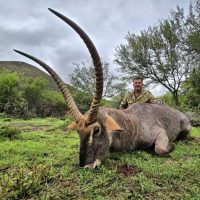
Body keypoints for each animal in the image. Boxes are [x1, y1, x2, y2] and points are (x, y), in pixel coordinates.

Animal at [14, 9, 191, 169]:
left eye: (97, 130)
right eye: (78, 132)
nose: (85, 165)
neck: (132, 122)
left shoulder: (160, 133)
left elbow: (160, 149)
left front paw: (171, 146)